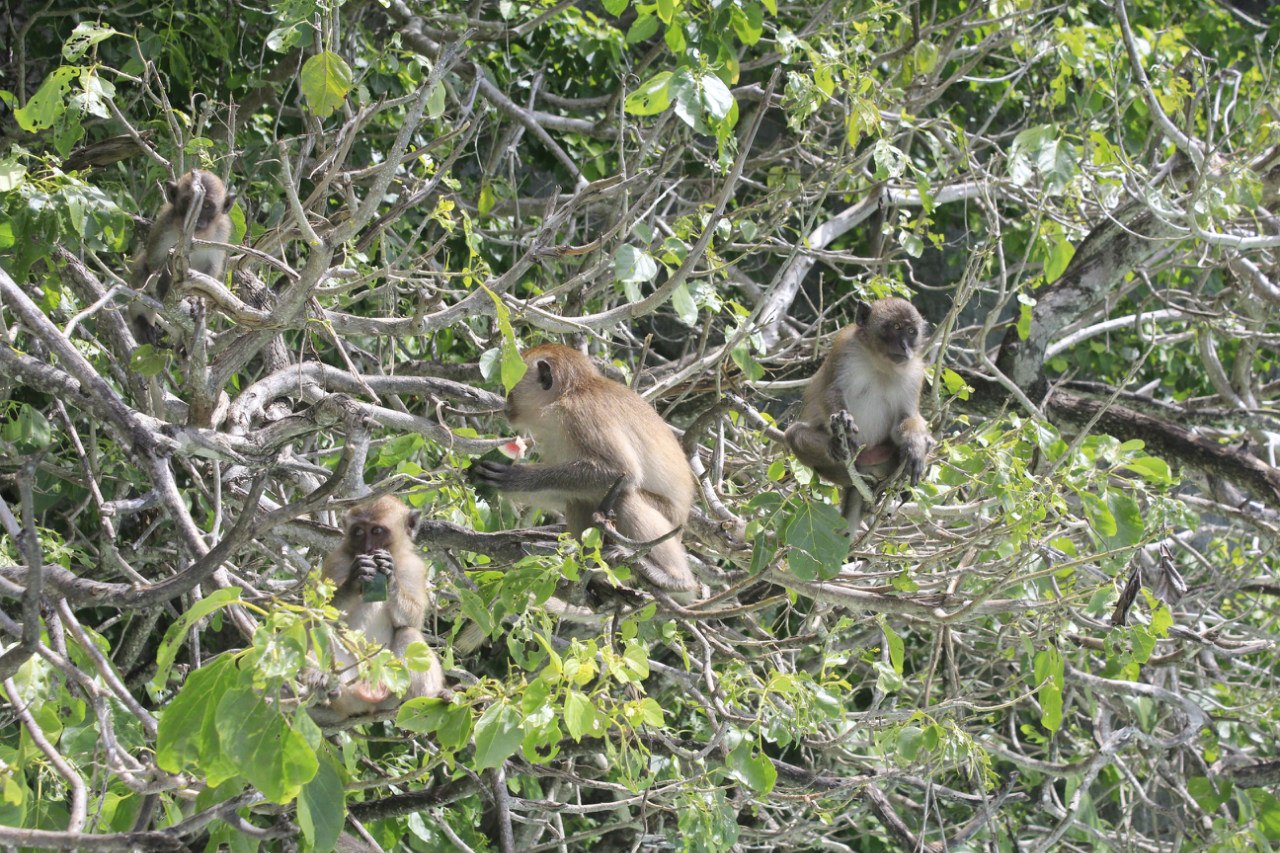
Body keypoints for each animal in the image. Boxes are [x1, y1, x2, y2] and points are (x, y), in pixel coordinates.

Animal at [132, 167, 238, 343]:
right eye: (188, 201)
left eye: (207, 206)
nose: (198, 219)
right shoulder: (165, 224)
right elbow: (154, 262)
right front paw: (163, 289)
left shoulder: (222, 231)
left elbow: (210, 272)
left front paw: (193, 300)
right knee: (142, 268)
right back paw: (142, 322)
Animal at [308, 491, 445, 722]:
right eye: (358, 532)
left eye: (377, 531)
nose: (368, 549)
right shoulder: (336, 562)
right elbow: (322, 614)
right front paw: (355, 580)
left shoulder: (414, 567)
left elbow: (414, 620)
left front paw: (389, 575)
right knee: (322, 631)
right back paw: (323, 684)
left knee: (407, 632)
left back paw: (430, 696)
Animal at [476, 343, 701, 594]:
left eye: (513, 385)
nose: (506, 402)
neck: (570, 391)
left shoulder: (580, 414)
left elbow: (622, 471)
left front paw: (516, 478)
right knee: (579, 498)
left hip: (669, 517)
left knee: (623, 497)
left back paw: (675, 579)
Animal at [778, 295, 931, 527]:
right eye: (896, 327)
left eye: (912, 331)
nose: (905, 346)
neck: (880, 363)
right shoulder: (846, 348)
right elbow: (831, 390)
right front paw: (845, 422)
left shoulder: (914, 372)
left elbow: (906, 418)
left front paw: (915, 446)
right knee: (795, 435)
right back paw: (840, 454)